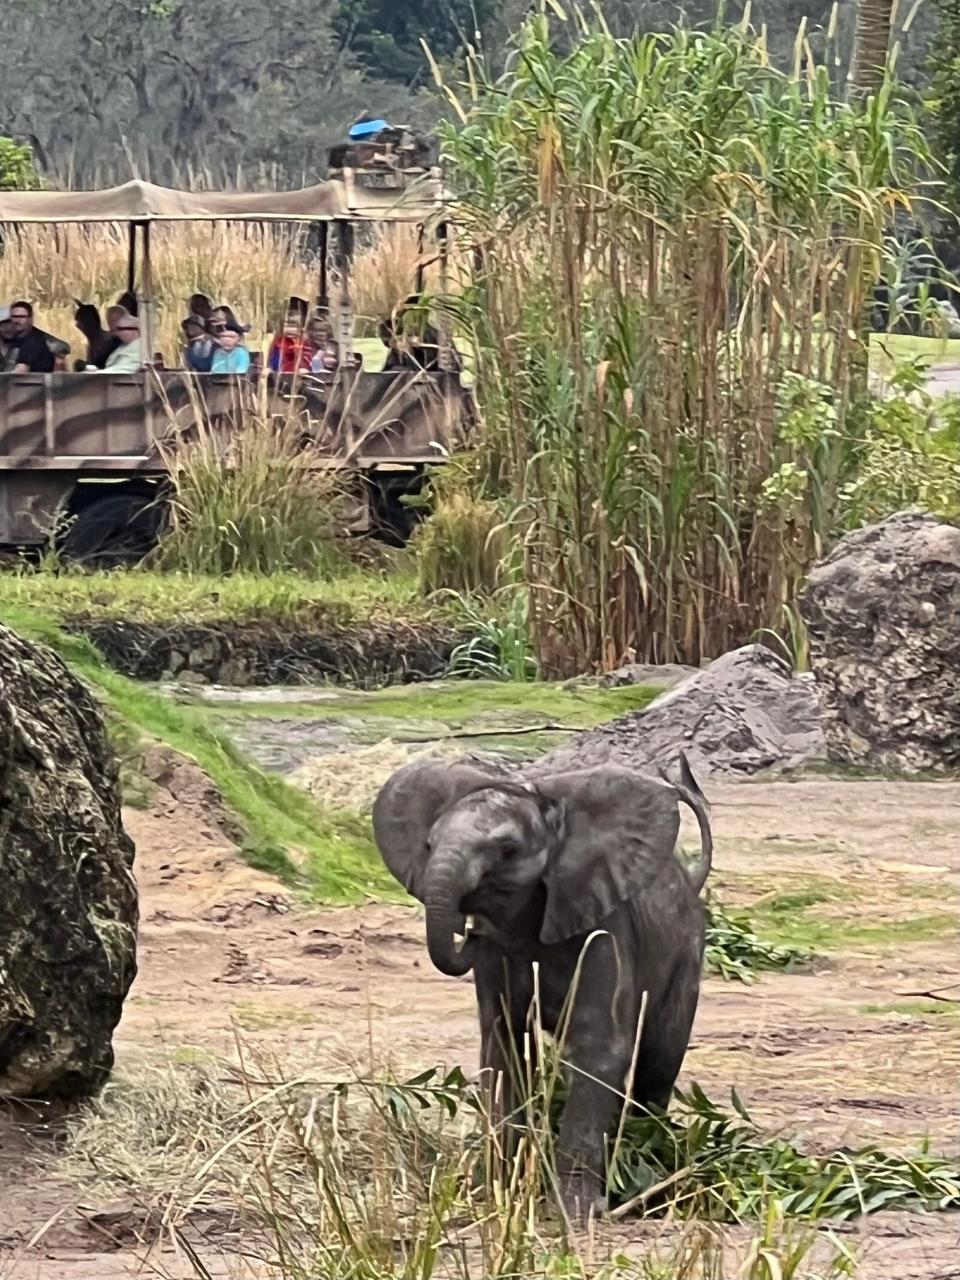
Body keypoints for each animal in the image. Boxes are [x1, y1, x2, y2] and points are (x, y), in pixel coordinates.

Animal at [373, 757, 716, 1218]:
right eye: (428, 845)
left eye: (508, 851)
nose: (471, 931)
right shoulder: (496, 957)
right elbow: (505, 1047)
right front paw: (501, 1192)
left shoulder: (604, 932)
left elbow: (599, 1049)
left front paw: (574, 1213)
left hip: (686, 957)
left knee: (658, 1063)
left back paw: (648, 1168)